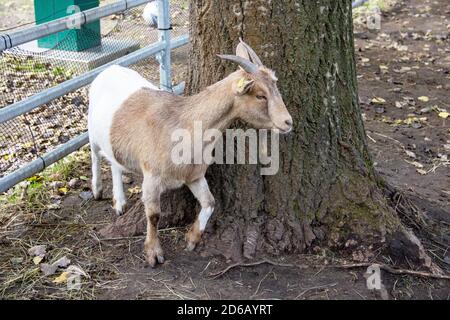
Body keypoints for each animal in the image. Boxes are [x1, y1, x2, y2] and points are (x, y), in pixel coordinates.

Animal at [88, 38, 294, 266]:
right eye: (260, 95)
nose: (288, 122)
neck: (184, 126)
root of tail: (109, 69)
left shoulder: (194, 176)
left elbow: (209, 203)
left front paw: (192, 239)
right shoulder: (152, 176)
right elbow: (154, 214)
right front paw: (153, 253)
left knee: (115, 162)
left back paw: (120, 202)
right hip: (91, 131)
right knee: (95, 155)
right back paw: (97, 190)